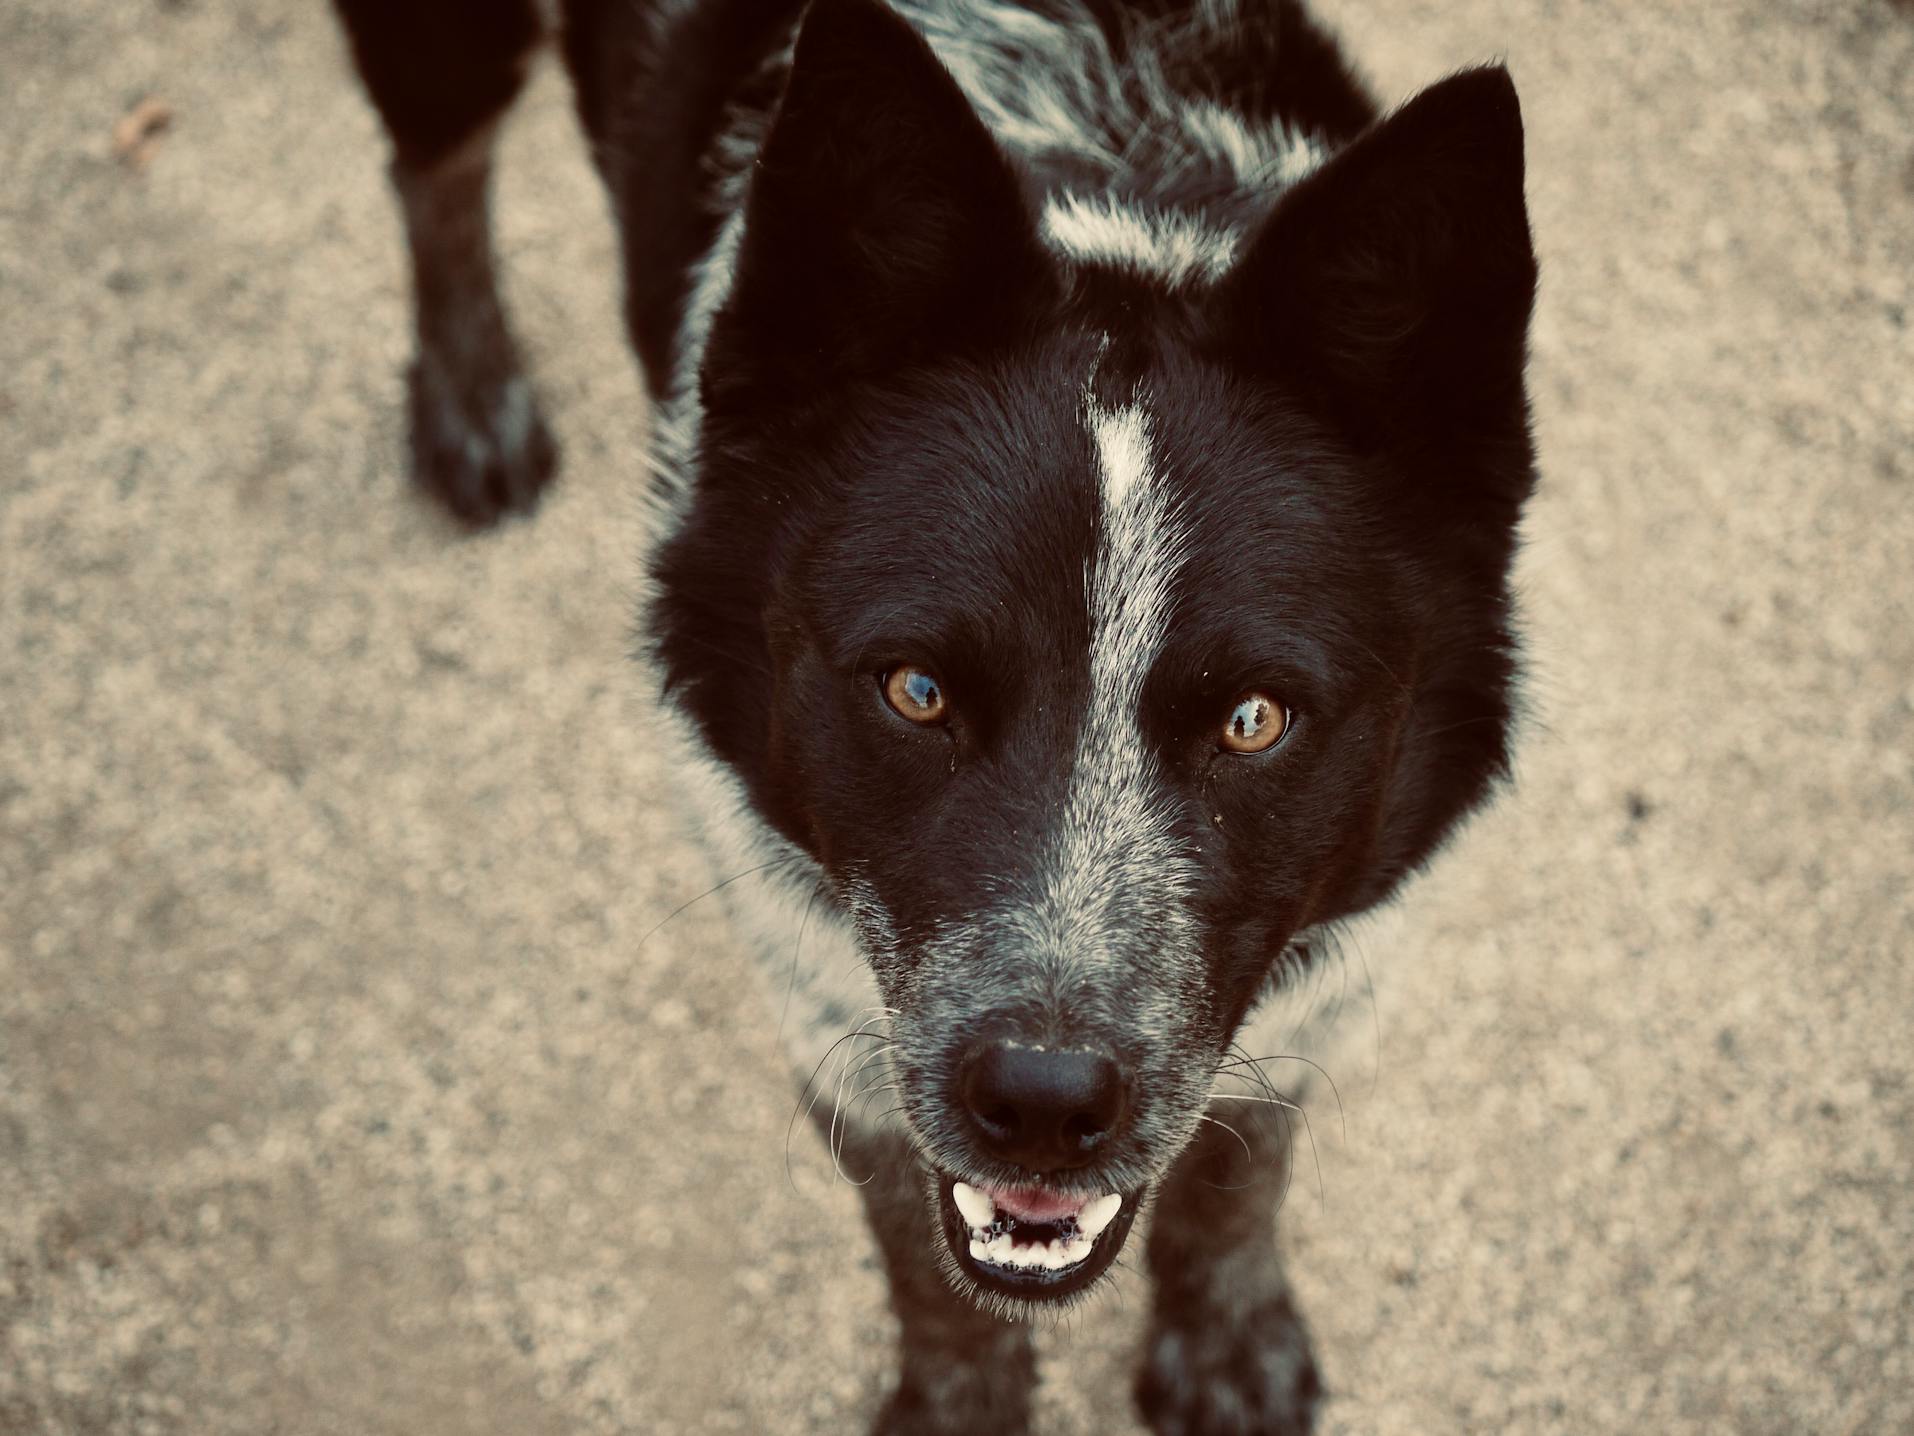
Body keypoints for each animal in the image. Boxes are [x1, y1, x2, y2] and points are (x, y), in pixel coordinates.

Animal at [329, 5, 1538, 1432]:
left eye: (1255, 718)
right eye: (916, 690)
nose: (1045, 1102)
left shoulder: (1329, 965)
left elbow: (1241, 1167)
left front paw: (1227, 1336)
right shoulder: (834, 1005)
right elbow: (924, 1258)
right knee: (436, 169)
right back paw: (470, 395)